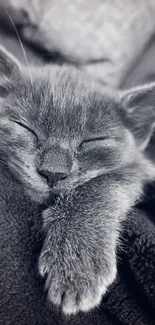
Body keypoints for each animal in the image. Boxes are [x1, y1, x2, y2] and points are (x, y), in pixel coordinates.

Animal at [0, 45, 155, 314]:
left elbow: (101, 183)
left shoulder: (141, 169)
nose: (53, 172)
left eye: (92, 141)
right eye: (26, 128)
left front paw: (77, 262)